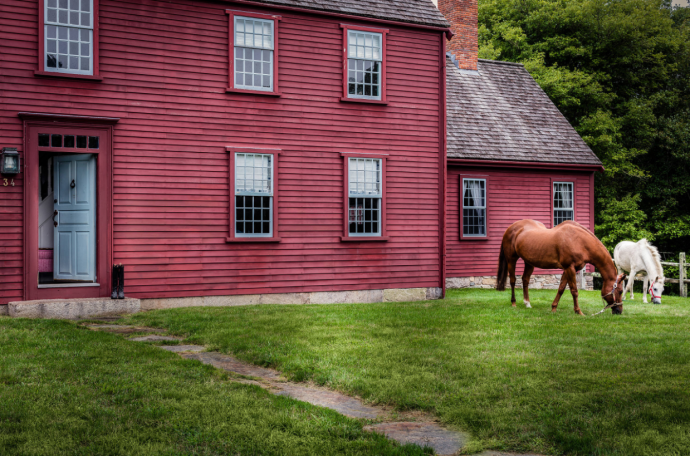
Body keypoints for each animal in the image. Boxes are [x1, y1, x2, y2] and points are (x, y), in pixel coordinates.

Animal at [494, 220, 624, 314]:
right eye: (620, 291)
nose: (619, 311)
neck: (580, 241)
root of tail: (511, 227)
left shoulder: (569, 269)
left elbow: (561, 289)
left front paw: (553, 308)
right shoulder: (569, 268)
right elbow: (574, 291)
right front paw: (578, 311)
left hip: (529, 262)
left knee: (525, 280)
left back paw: (527, 303)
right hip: (511, 259)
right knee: (512, 280)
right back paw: (514, 303)